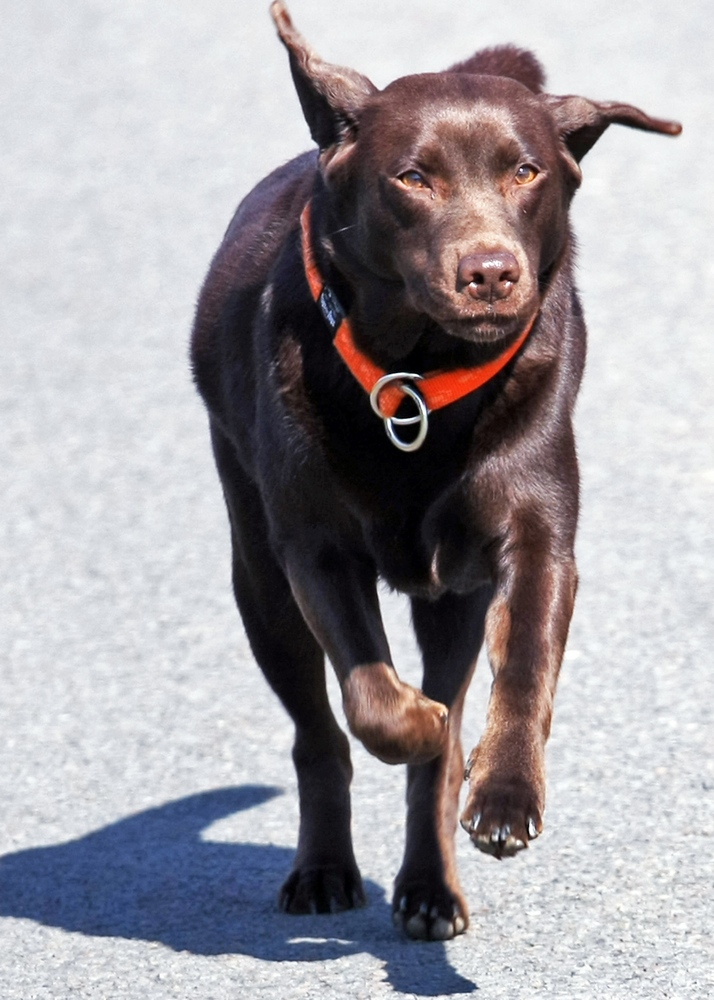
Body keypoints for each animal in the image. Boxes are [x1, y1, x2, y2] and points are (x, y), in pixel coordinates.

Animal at [189, 1, 680, 936]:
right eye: (413, 179)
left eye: (526, 170)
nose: (492, 273)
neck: (420, 379)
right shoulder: (315, 550)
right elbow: (372, 699)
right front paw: (413, 720)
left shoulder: (533, 533)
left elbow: (521, 670)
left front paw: (503, 793)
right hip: (257, 575)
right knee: (319, 733)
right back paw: (324, 870)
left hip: (454, 601)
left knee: (439, 738)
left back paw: (429, 885)